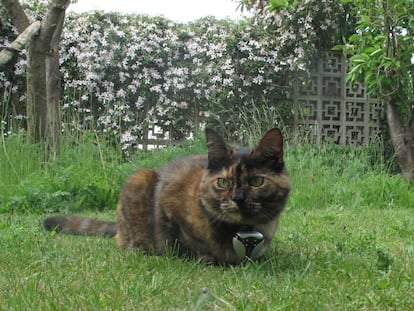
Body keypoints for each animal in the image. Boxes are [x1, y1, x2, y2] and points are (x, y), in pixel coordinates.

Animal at [43, 129, 292, 266]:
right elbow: (184, 240)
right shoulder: (170, 203)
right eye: (223, 182)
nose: (238, 199)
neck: (243, 230)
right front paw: (205, 257)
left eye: (256, 182)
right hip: (138, 178)